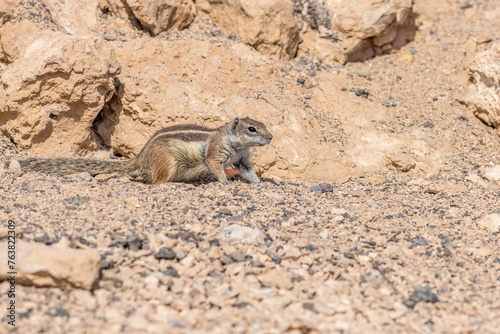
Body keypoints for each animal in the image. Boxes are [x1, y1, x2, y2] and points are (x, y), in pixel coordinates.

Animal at [7, 117, 274, 184]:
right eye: (252, 129)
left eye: (263, 124)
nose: (271, 137)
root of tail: (139, 160)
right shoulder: (216, 153)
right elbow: (215, 166)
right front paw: (226, 182)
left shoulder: (242, 159)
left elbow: (249, 172)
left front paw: (260, 183)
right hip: (167, 162)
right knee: (156, 182)